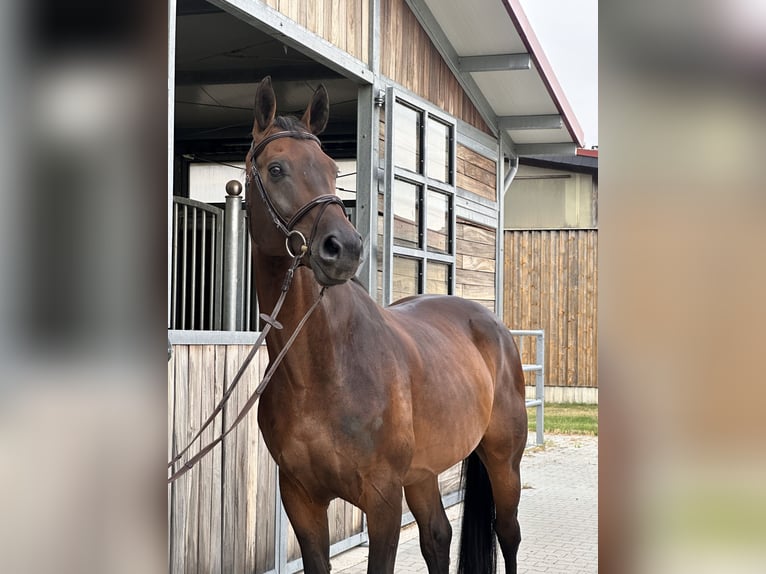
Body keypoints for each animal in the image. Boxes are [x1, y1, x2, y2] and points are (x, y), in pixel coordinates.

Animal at [245, 76, 527, 574]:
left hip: (503, 461)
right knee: (437, 537)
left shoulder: (382, 501)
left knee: (507, 535)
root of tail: (492, 324)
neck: (323, 368)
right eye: (276, 169)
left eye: (331, 169)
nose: (345, 248)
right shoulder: (300, 499)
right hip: (423, 473)